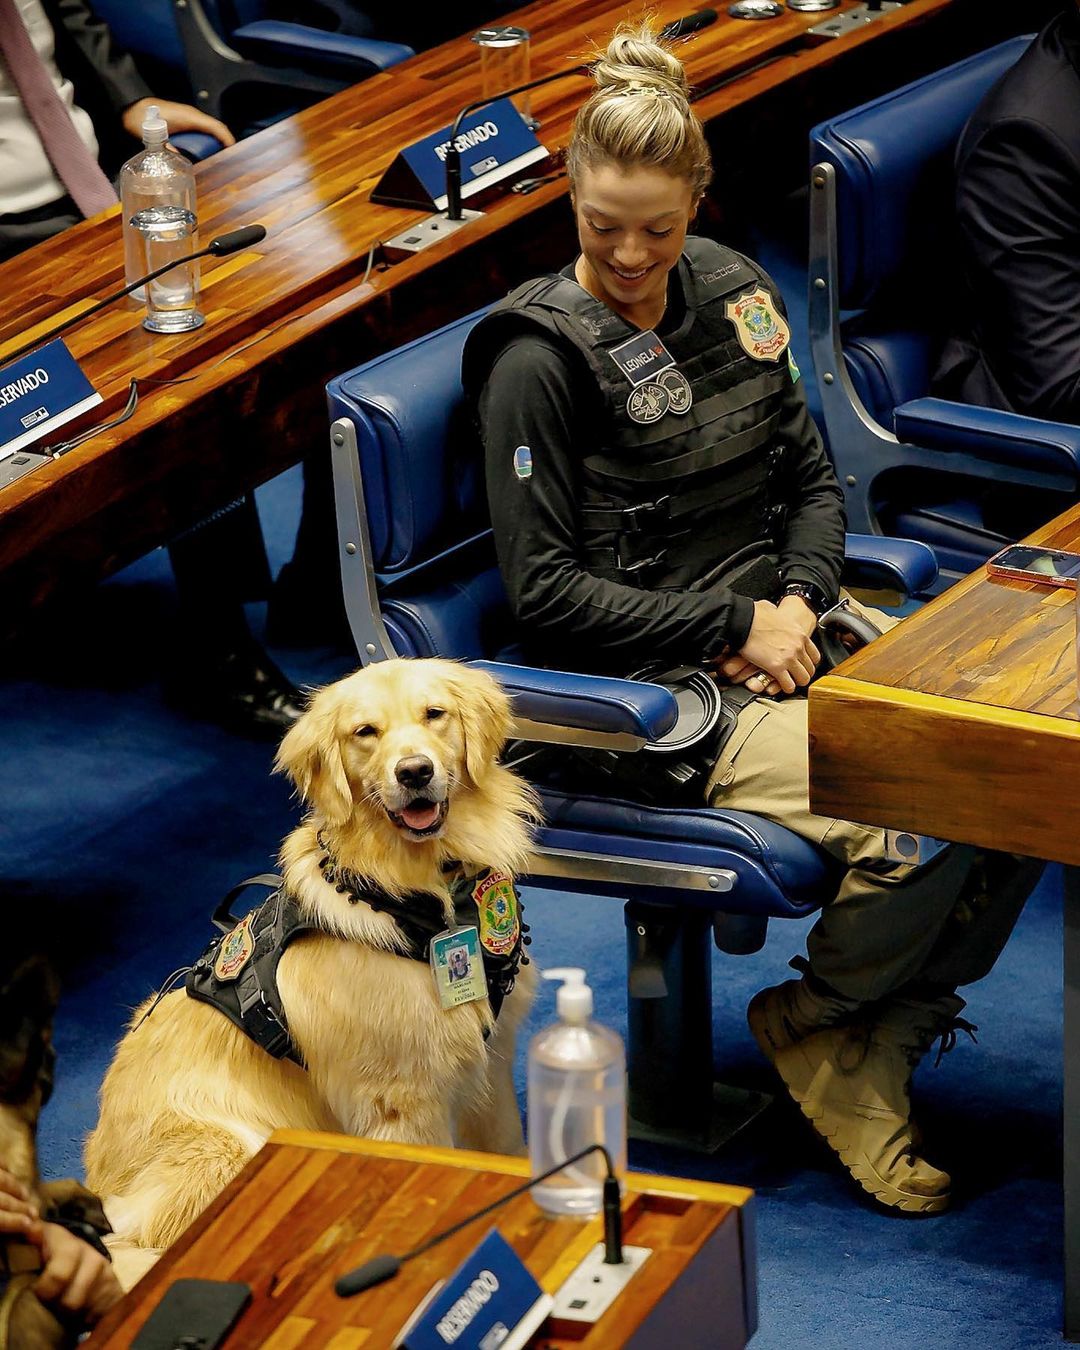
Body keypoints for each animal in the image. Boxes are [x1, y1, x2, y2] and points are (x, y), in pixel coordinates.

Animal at [85, 658, 540, 1258]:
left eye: (434, 714)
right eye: (365, 732)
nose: (414, 772)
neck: (420, 896)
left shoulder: (492, 1065)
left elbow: (509, 1151)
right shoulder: (402, 1103)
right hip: (231, 1147)